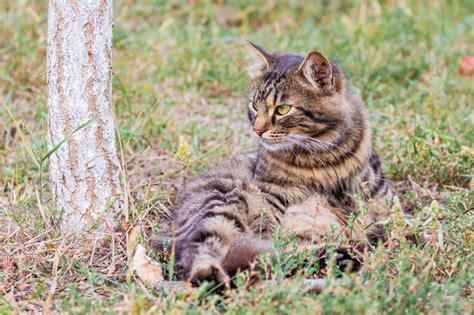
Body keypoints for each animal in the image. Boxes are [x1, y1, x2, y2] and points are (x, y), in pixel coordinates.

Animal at [157, 42, 394, 286]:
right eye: (255, 106)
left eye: (282, 109)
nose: (257, 130)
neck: (321, 157)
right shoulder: (270, 195)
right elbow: (269, 231)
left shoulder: (382, 207)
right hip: (225, 204)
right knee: (206, 254)